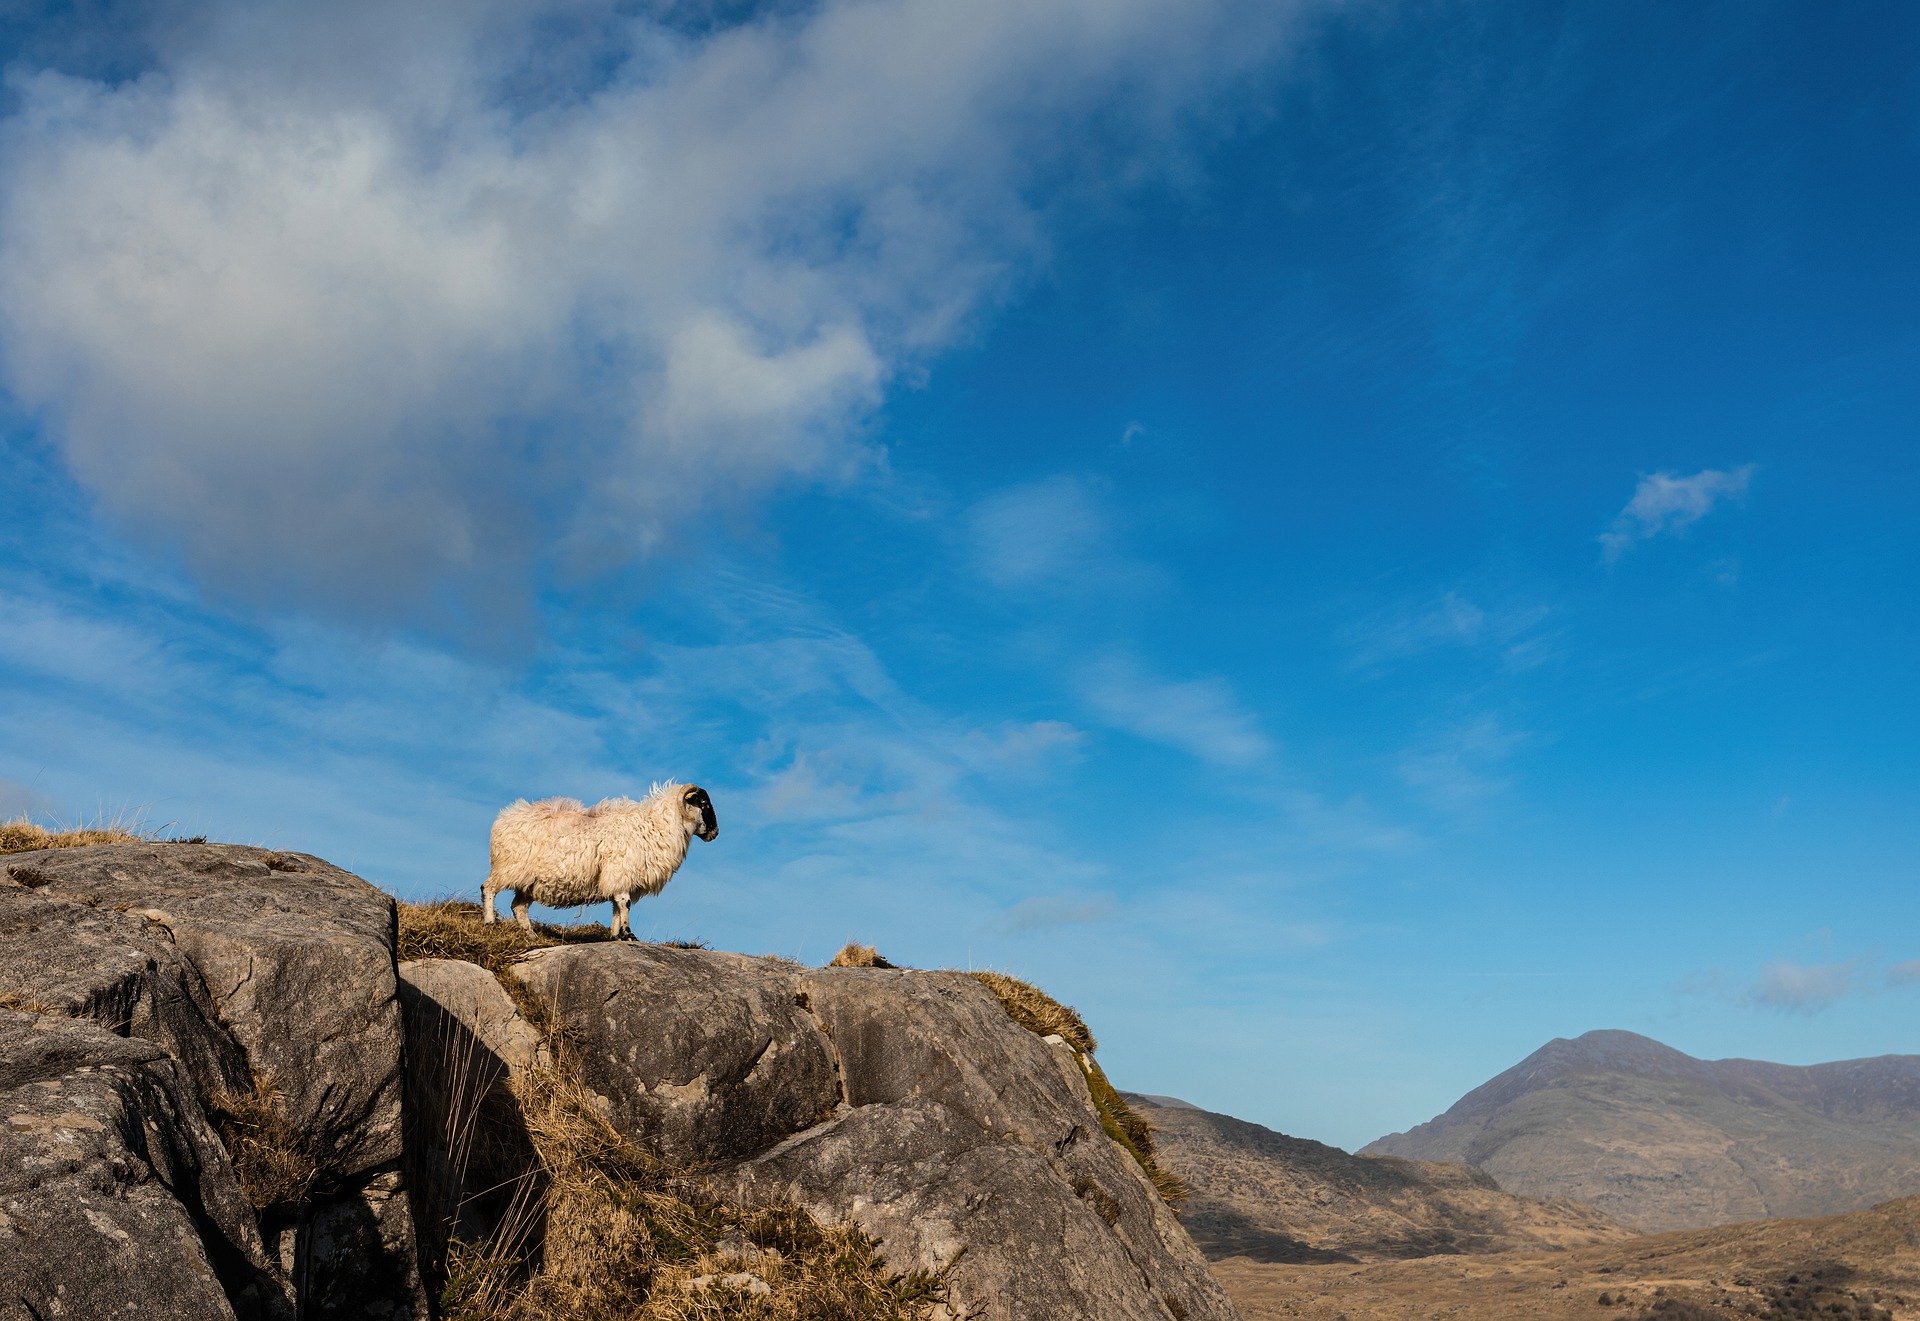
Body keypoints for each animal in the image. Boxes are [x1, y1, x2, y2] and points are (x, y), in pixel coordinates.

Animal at [480, 783, 721, 940]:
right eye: (704, 804)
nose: (715, 833)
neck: (658, 826)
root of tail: (504, 818)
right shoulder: (622, 872)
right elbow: (624, 904)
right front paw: (628, 934)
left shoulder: (619, 879)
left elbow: (616, 907)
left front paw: (615, 936)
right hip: (509, 868)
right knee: (488, 888)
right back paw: (490, 922)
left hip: (528, 883)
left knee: (518, 907)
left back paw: (530, 936)